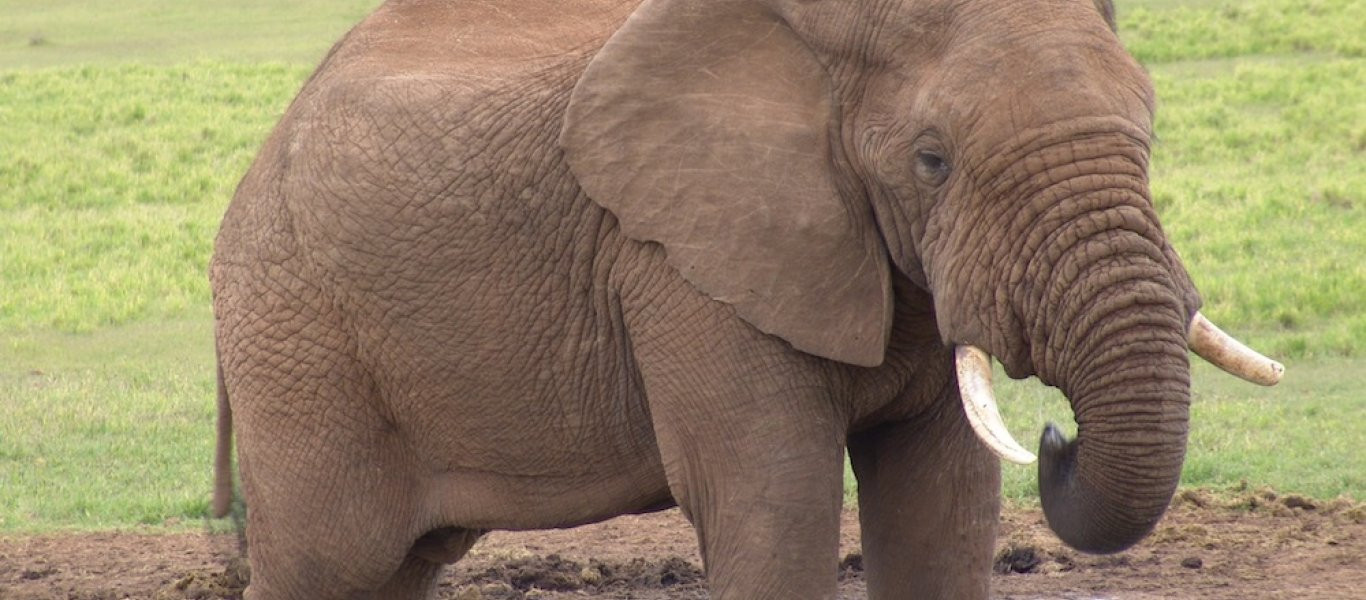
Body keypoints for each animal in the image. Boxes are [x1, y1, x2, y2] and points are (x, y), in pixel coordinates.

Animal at [207, 0, 1284, 598]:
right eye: (931, 161)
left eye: (1149, 128)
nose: (1058, 439)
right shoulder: (680, 264)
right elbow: (773, 501)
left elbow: (940, 506)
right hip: (294, 329)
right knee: (329, 563)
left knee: (397, 569)